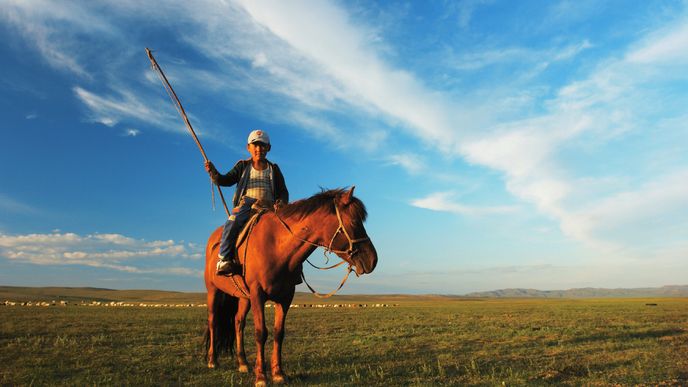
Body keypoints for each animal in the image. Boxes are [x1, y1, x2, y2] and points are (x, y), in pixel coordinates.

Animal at [203, 186, 376, 386]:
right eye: (355, 221)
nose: (373, 260)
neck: (277, 247)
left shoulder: (285, 297)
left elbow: (279, 333)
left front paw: (278, 373)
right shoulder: (257, 294)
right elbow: (261, 333)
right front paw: (261, 376)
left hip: (243, 296)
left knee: (239, 322)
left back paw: (243, 363)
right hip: (213, 290)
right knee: (213, 321)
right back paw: (212, 361)